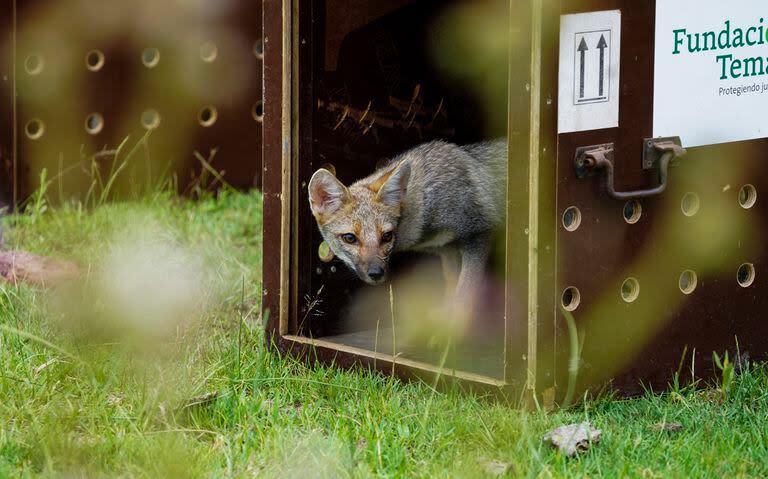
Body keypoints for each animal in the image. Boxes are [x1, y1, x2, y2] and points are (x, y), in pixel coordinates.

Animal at [308, 139, 508, 304]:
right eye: (350, 238)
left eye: (387, 236)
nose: (376, 274)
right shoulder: (447, 250)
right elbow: (451, 289)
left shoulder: (478, 234)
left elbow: (464, 294)